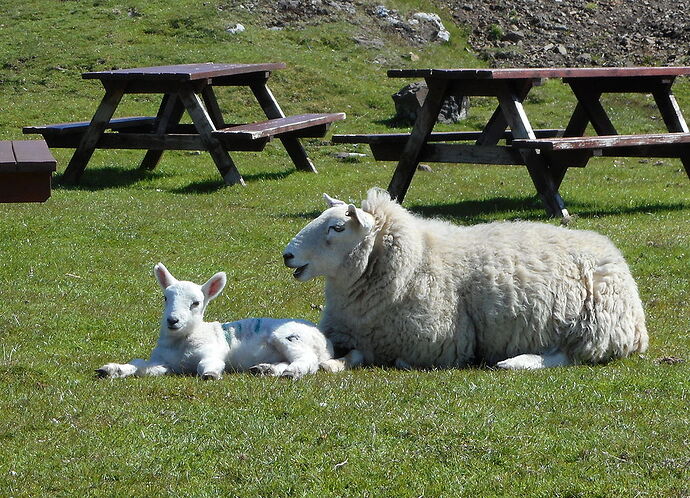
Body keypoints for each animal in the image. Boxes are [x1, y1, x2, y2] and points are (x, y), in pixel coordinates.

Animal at [97, 262, 334, 380]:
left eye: (196, 303)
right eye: (165, 298)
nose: (172, 320)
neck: (182, 342)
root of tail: (325, 342)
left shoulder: (211, 350)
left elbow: (209, 363)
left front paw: (210, 374)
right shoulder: (163, 362)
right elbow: (139, 365)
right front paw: (112, 370)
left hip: (290, 337)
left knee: (307, 360)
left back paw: (292, 372)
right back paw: (265, 369)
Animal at [282, 187, 648, 370]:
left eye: (337, 227)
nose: (287, 254)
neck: (414, 262)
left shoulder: (436, 343)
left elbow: (391, 358)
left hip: (596, 326)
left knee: (568, 355)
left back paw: (517, 362)